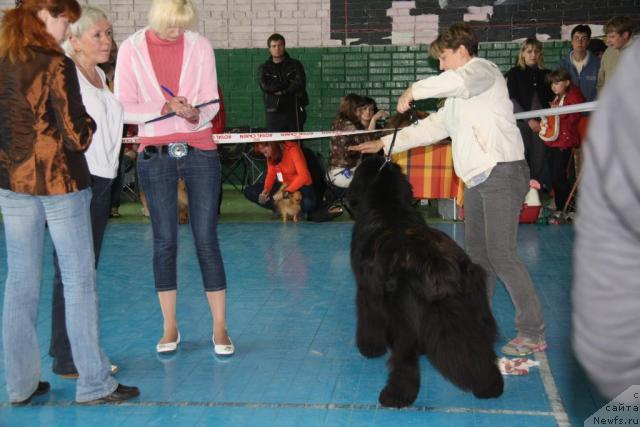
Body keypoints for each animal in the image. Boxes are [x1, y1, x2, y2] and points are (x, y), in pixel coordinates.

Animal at [348, 156, 502, 408]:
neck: (387, 204)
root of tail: (436, 262)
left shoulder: (367, 290)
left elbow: (369, 320)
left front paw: (370, 347)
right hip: (473, 302)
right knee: (478, 345)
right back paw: (489, 384)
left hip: (404, 316)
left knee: (405, 361)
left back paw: (396, 395)